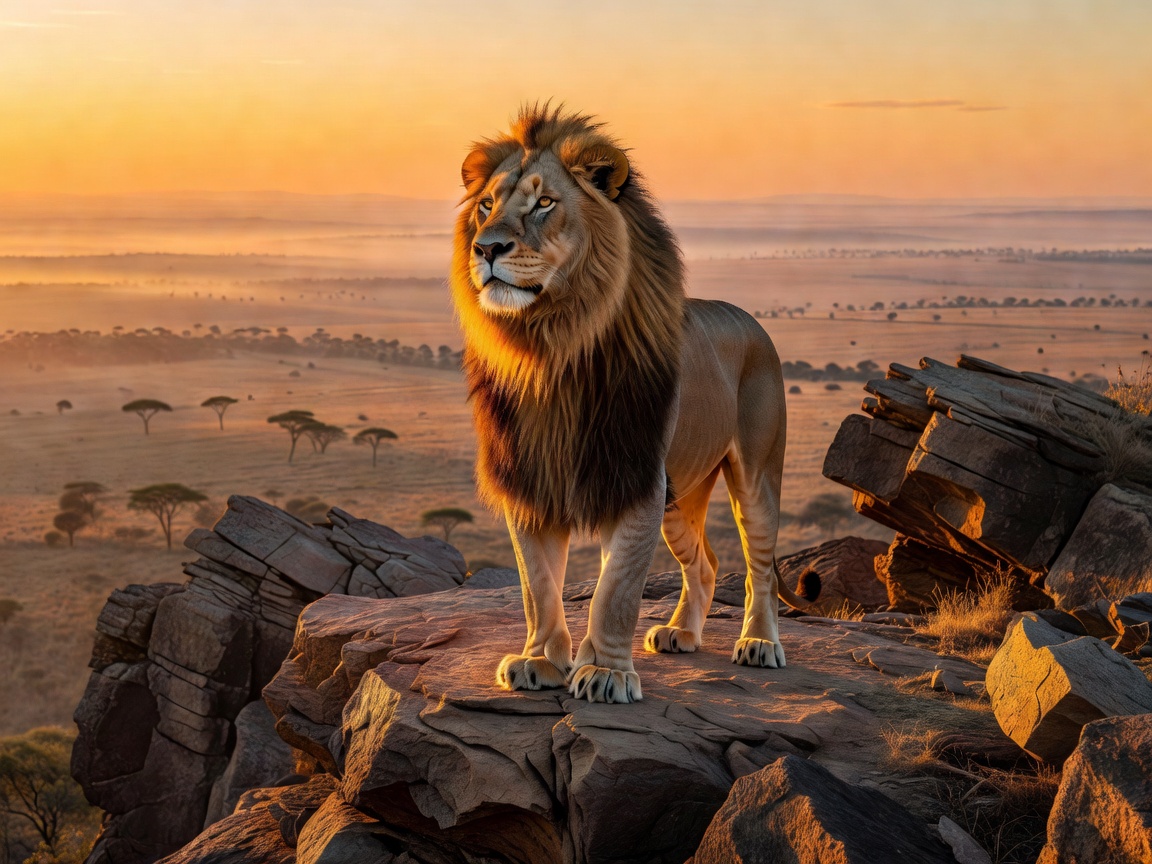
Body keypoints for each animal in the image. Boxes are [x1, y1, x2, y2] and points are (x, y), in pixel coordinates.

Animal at [451, 106, 808, 704]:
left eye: (544, 203)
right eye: (486, 206)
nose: (486, 248)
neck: (552, 348)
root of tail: (749, 318)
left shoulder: (634, 474)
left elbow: (615, 589)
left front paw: (606, 673)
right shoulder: (531, 478)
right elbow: (537, 586)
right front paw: (540, 661)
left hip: (755, 473)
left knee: (759, 567)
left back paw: (759, 642)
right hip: (679, 498)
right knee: (706, 564)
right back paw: (681, 633)